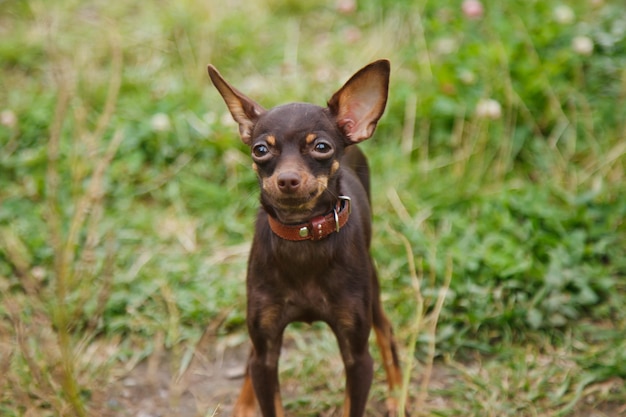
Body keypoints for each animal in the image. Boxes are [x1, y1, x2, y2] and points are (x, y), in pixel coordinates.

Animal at [207, 58, 402, 416]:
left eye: (321, 147)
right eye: (260, 150)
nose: (287, 179)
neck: (302, 235)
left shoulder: (358, 359)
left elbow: (353, 402)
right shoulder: (266, 351)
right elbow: (265, 384)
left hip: (373, 288)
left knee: (385, 330)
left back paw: (398, 392)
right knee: (251, 356)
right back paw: (244, 404)